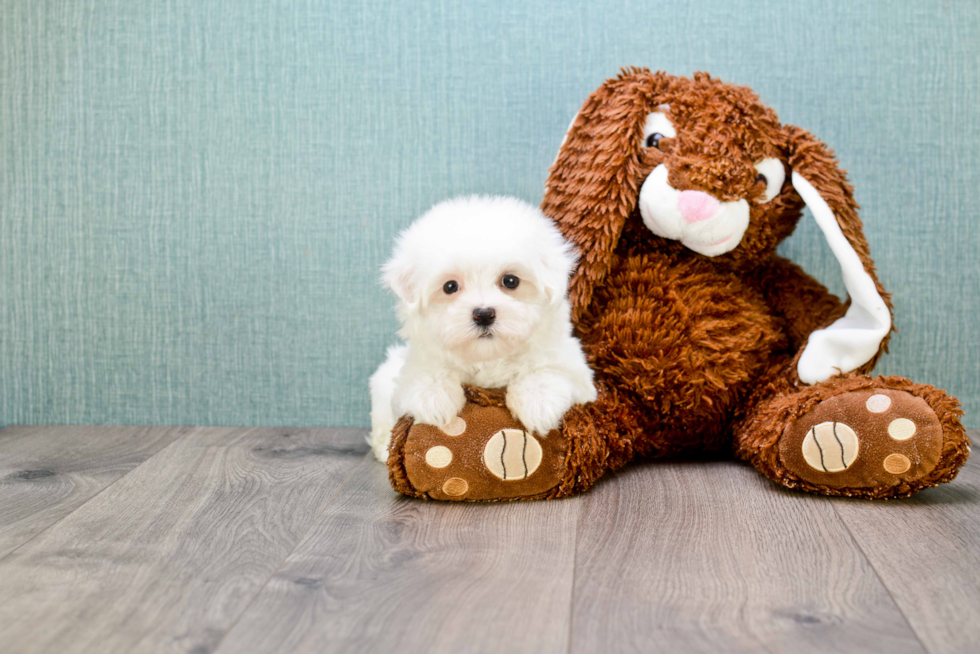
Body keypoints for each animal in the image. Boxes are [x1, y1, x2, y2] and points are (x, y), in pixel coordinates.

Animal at [370, 195, 592, 462]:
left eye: (510, 281)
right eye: (450, 286)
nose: (484, 314)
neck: (488, 358)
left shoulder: (574, 369)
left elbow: (551, 371)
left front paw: (537, 402)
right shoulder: (415, 365)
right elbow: (425, 376)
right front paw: (434, 399)